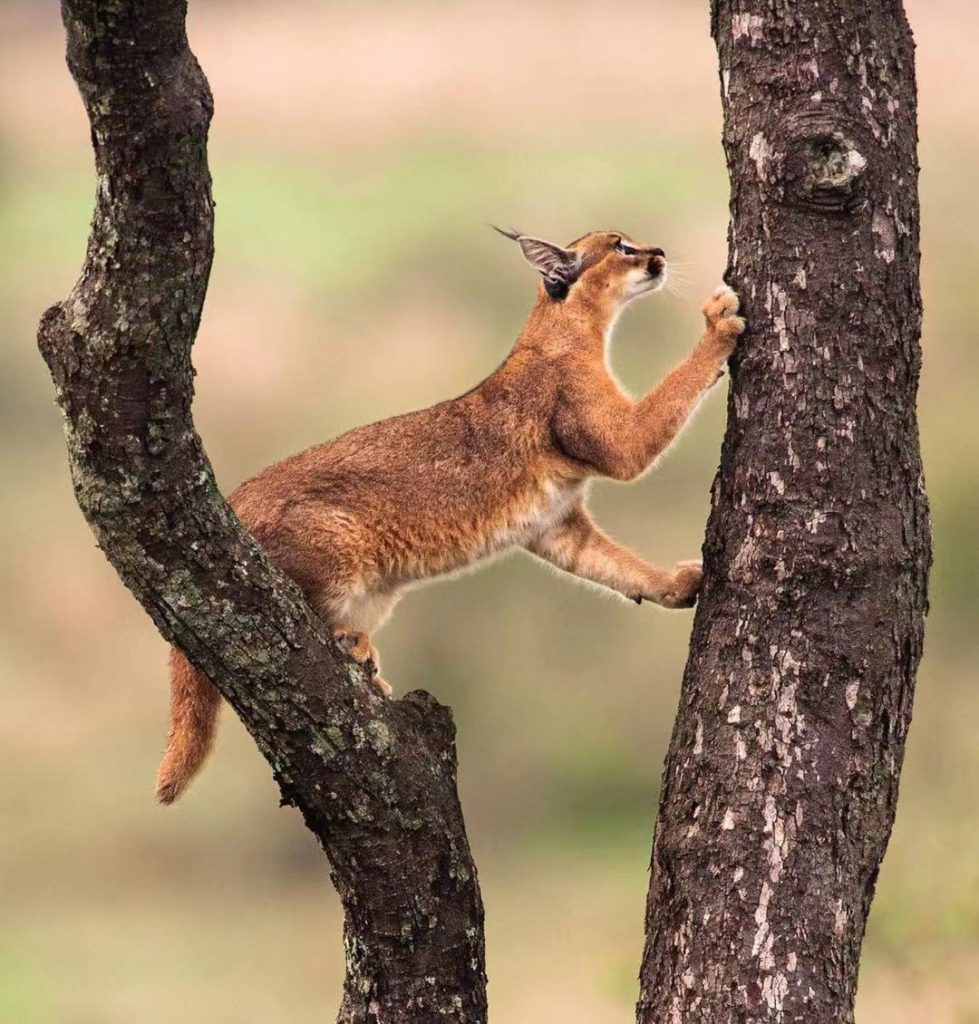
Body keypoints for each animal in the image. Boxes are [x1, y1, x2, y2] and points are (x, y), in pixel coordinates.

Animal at [156, 228, 745, 802]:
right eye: (621, 245)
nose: (658, 252)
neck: (572, 331)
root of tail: (235, 497)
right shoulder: (618, 443)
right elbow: (672, 394)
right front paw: (719, 325)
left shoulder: (554, 526)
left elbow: (614, 565)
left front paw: (675, 585)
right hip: (338, 548)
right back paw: (355, 647)